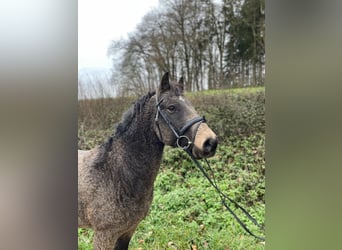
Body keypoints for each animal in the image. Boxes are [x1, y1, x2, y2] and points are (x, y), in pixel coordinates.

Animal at [78, 71, 216, 249]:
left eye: (191, 104)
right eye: (171, 107)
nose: (210, 142)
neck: (115, 173)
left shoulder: (127, 231)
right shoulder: (104, 235)